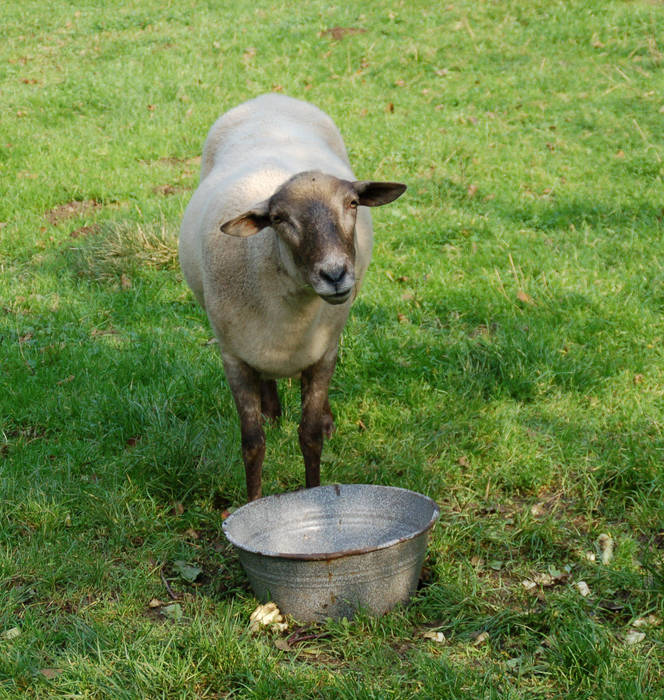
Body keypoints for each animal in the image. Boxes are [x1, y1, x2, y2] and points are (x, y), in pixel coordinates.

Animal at [179, 93, 404, 500]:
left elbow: (310, 435)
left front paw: (314, 491)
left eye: (352, 204)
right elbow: (252, 443)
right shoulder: (233, 357)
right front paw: (252, 503)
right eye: (279, 219)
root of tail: (271, 97)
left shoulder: (322, 353)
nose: (335, 274)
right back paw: (271, 409)